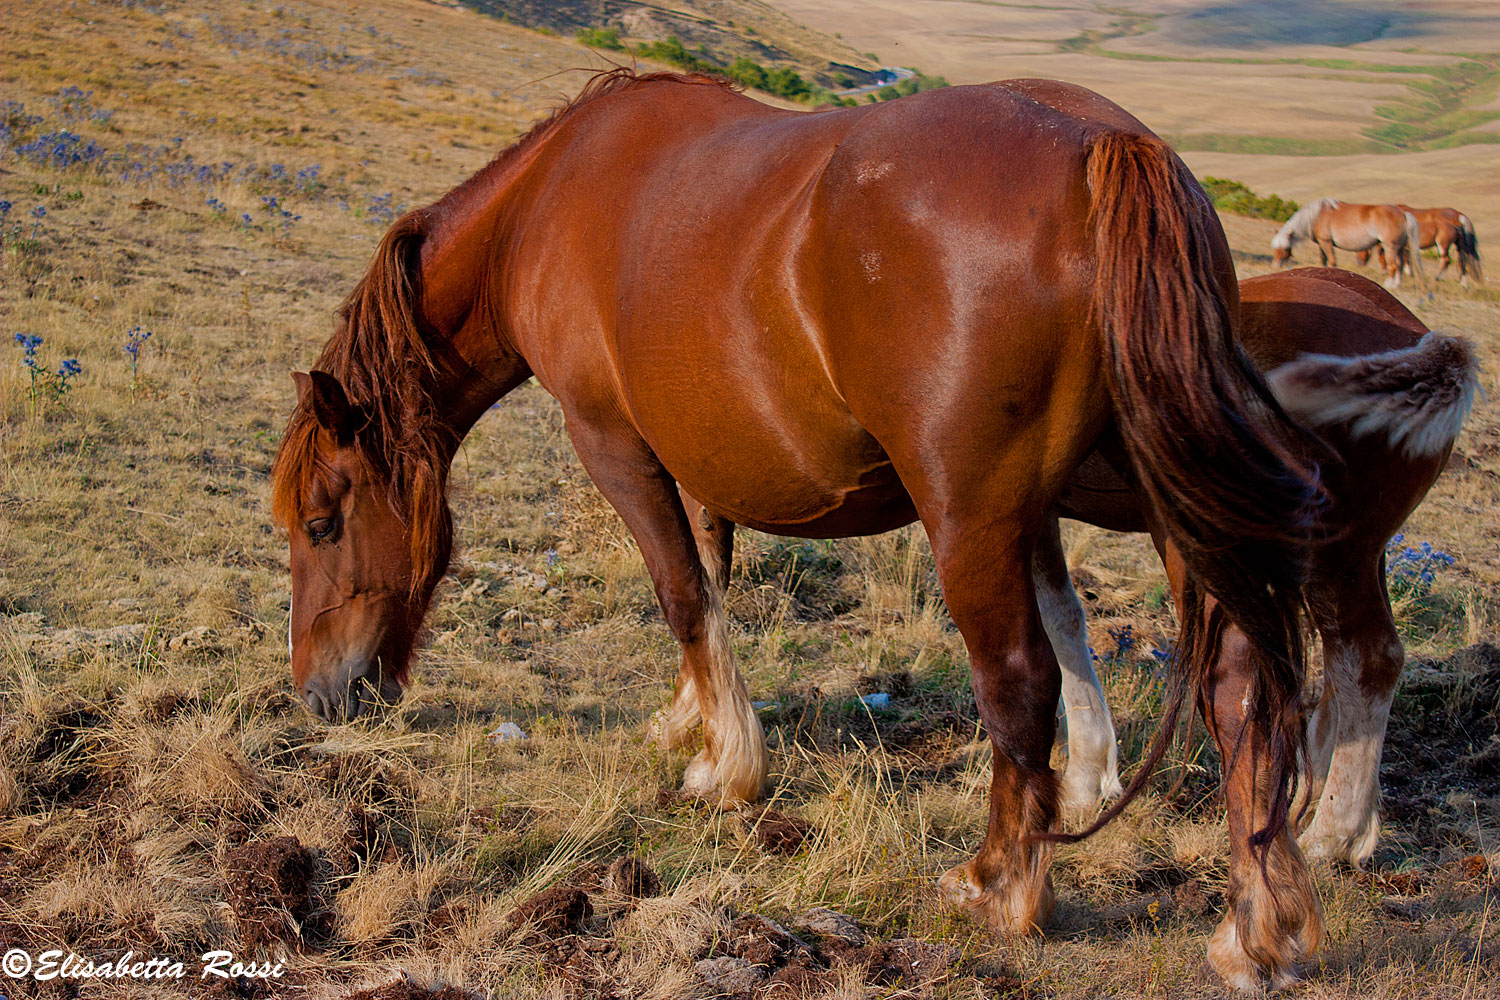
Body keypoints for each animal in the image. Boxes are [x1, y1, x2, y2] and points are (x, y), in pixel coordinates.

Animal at [271, 69, 1327, 990]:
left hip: (972, 518)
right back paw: (1256, 929)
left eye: (322, 523)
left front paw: (727, 765)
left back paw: (1000, 887)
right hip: (1165, 509)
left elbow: (681, 588)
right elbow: (712, 579)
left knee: (1018, 680)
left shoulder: (613, 443)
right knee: (1237, 687)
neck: (544, 206)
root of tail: (1104, 146)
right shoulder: (702, 452)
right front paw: (689, 717)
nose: (319, 694)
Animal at [1048, 267, 1476, 871]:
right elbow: (1063, 619)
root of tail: (1419, 335)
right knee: (1344, 671)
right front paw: (1086, 780)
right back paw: (1321, 811)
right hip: (1361, 558)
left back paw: (1331, 837)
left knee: (1370, 662)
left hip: (1329, 558)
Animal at [1271, 198, 1423, 289]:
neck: (1316, 216)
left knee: (1393, 266)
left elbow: (1332, 261)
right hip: (1399, 248)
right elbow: (1323, 260)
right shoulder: (1321, 244)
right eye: (1275, 250)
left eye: (1284, 249)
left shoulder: (1326, 242)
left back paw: (1389, 284)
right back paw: (1396, 285)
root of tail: (1403, 214)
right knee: (1400, 265)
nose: (1275, 266)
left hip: (1390, 247)